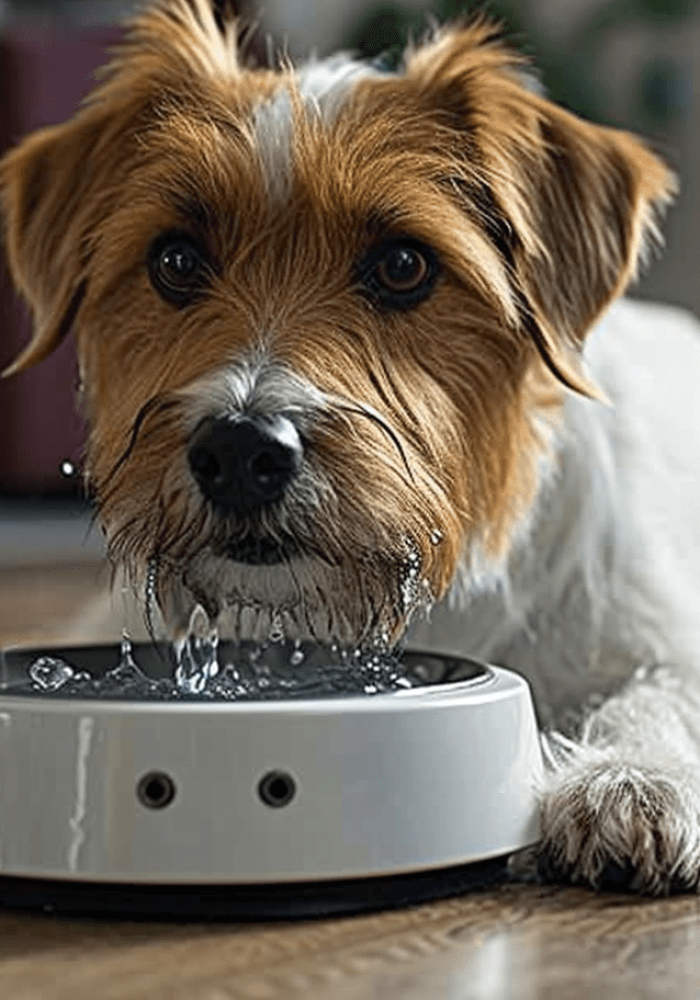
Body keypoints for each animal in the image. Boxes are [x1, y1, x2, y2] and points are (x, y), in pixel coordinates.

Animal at [4, 0, 700, 896]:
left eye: (403, 264)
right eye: (176, 259)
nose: (240, 453)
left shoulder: (656, 633)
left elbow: (659, 689)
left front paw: (631, 776)